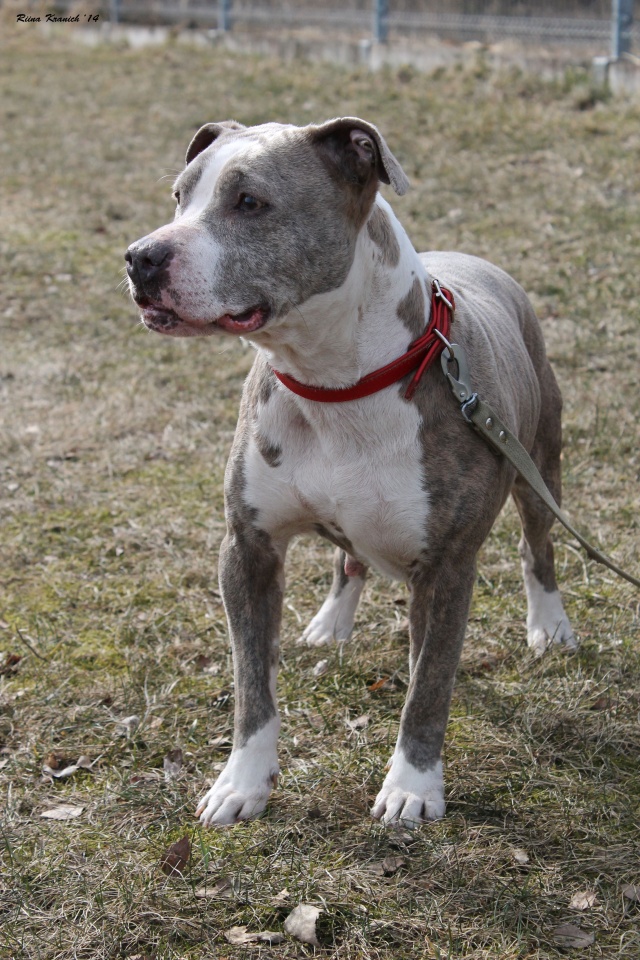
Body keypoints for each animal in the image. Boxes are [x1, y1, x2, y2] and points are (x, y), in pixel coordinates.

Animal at [125, 117, 576, 827]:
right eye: (179, 197)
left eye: (248, 202)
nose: (140, 257)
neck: (334, 383)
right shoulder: (247, 548)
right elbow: (253, 684)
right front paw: (242, 783)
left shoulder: (448, 568)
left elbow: (428, 686)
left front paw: (413, 787)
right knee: (349, 557)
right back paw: (331, 624)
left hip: (540, 468)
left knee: (538, 545)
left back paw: (550, 625)